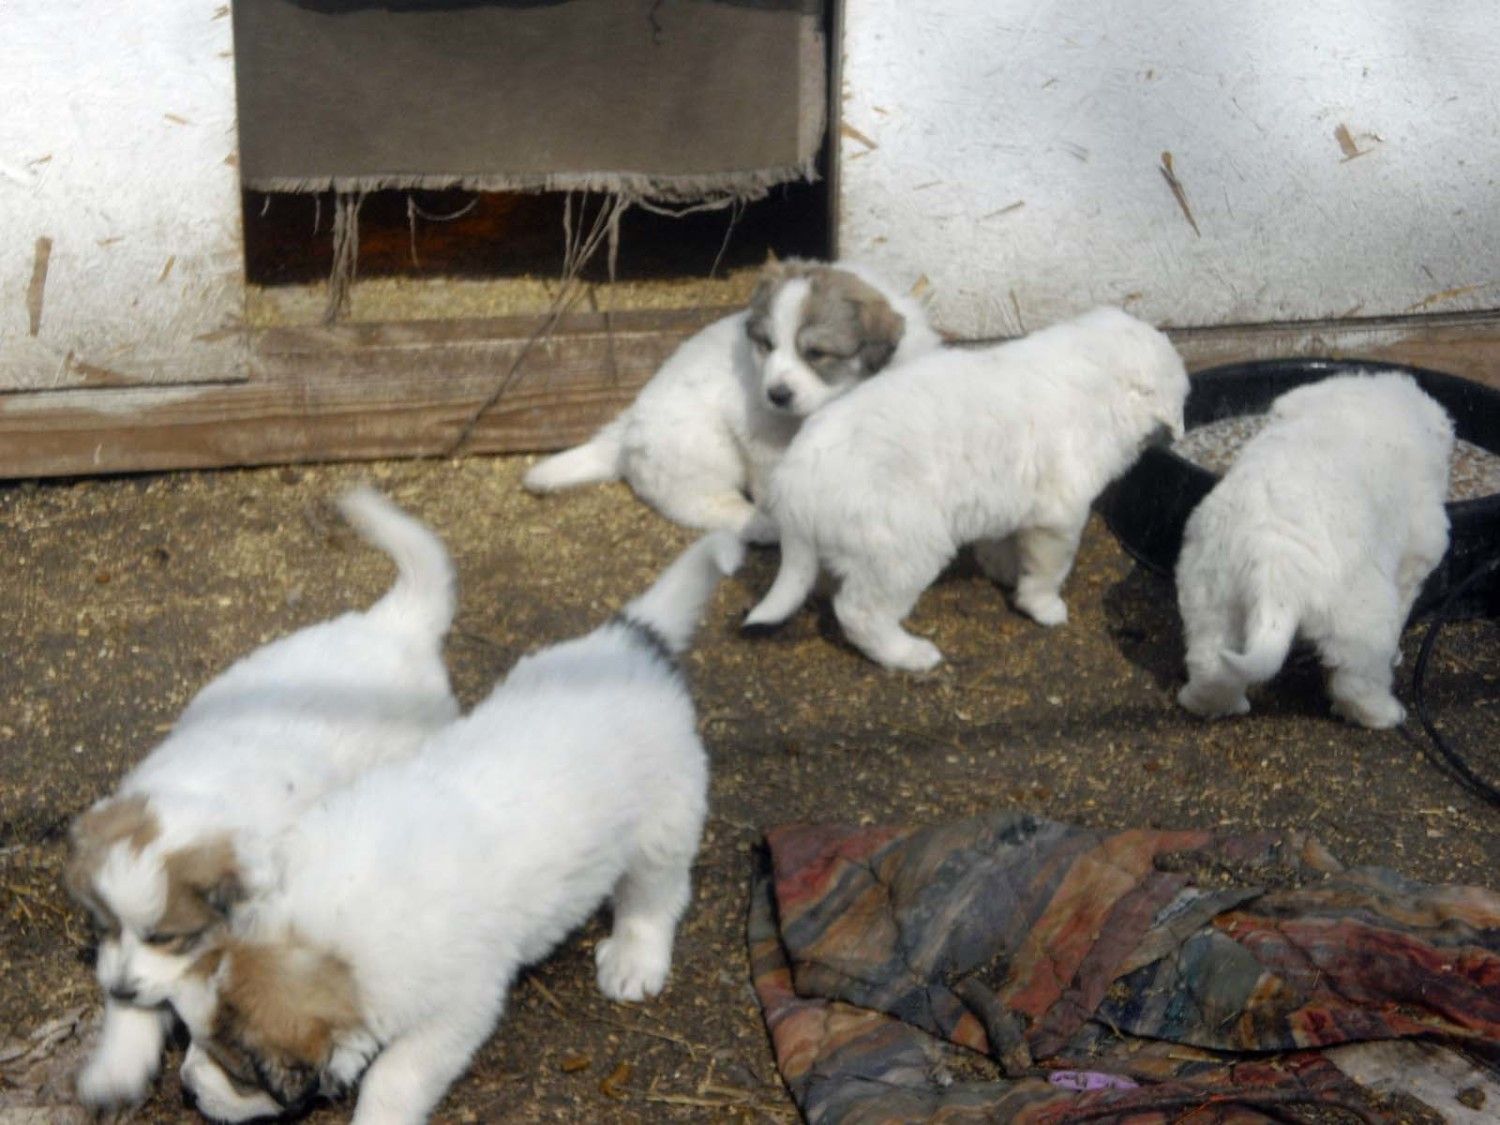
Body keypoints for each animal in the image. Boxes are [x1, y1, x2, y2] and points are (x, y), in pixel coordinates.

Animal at [63, 487, 459, 1109]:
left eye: (167, 936)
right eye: (101, 926)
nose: (118, 988)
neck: (201, 790)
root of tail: (393, 625)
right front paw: (115, 1068)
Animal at [172, 531, 743, 1124]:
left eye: (239, 1072)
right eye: (189, 1036)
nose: (186, 1087)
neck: (322, 932)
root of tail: (630, 645)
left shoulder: (459, 1008)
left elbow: (394, 1075)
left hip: (666, 819)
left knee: (656, 896)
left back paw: (635, 960)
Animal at [522, 258, 941, 539]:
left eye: (816, 353)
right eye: (767, 345)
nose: (776, 395)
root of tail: (624, 434)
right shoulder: (762, 439)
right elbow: (773, 484)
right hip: (702, 451)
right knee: (702, 505)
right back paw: (760, 527)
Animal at [743, 307, 1188, 671]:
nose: (1177, 437)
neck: (1095, 383)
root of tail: (794, 481)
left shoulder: (1005, 500)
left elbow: (1001, 544)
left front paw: (1007, 572)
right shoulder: (1057, 518)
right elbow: (1049, 570)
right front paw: (1043, 606)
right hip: (902, 548)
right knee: (859, 613)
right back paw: (909, 655)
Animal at [1175, 372, 1453, 728]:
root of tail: (1272, 562)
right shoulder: (1416, 554)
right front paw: (1397, 656)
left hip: (1208, 592)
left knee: (1210, 661)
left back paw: (1208, 702)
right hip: (1363, 614)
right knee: (1356, 679)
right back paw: (1383, 713)